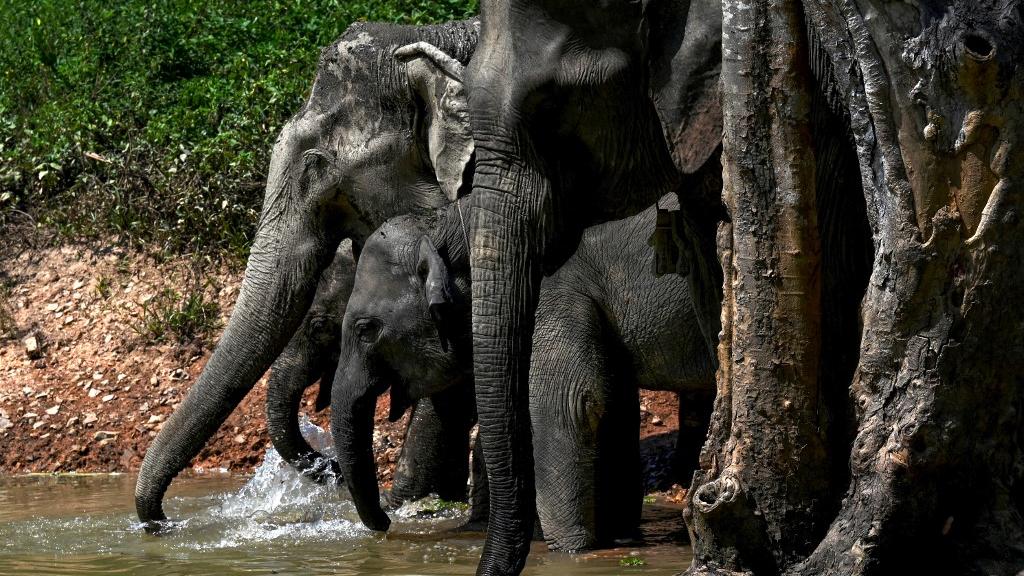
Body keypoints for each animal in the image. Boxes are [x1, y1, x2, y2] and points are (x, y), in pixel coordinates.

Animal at [327, 193, 712, 545]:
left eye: (365, 329)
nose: (385, 525)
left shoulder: (551, 291)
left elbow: (568, 404)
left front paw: (570, 550)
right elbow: (613, 406)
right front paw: (617, 538)